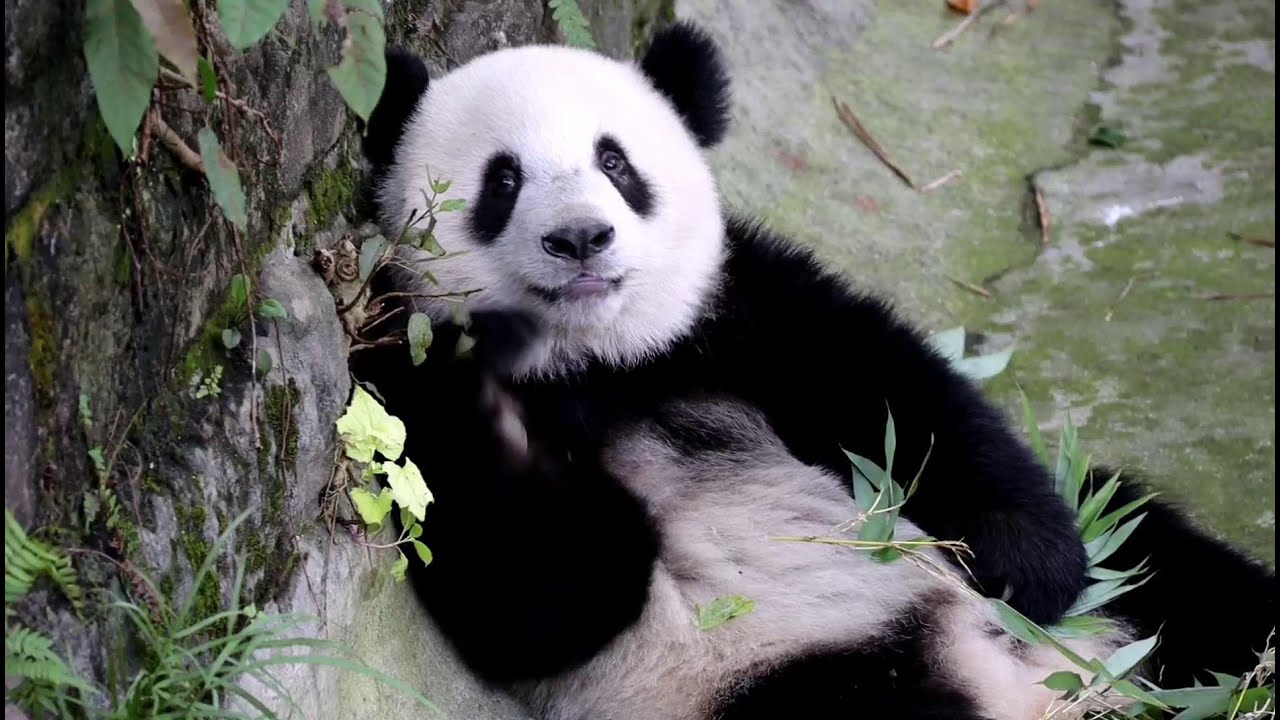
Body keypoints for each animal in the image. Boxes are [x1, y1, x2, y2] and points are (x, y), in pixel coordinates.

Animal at [348, 22, 1276, 720]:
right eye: (502, 180)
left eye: (615, 162)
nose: (580, 238)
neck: (601, 361)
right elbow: (549, 594)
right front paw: (477, 402)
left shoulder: (741, 314)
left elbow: (909, 397)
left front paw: (1029, 563)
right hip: (794, 683)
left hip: (1138, 588)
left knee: (1181, 571)